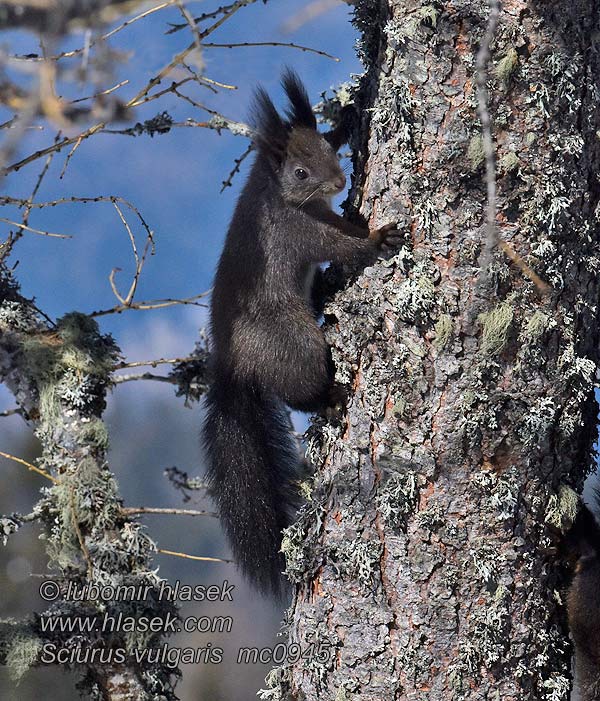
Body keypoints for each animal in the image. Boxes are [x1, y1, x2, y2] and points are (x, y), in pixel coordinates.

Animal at [202, 68, 404, 592]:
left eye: (327, 148)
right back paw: (328, 399)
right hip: (295, 345)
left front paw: (350, 115)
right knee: (299, 389)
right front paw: (379, 238)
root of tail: (234, 364)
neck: (275, 190)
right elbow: (343, 245)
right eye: (299, 172)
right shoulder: (294, 232)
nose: (339, 180)